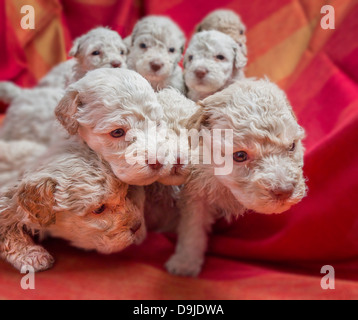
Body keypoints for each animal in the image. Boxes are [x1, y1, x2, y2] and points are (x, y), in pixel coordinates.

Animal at [166, 79, 306, 276]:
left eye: (292, 146)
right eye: (240, 155)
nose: (285, 191)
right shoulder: (196, 193)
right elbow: (193, 228)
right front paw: (185, 262)